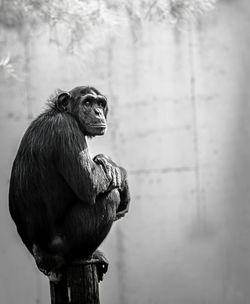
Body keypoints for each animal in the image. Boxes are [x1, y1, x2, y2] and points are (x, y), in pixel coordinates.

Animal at [8, 85, 130, 280]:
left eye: (100, 103)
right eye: (87, 102)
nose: (97, 112)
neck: (61, 113)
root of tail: (42, 261)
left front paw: (106, 161)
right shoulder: (65, 127)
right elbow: (89, 184)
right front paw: (115, 170)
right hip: (65, 244)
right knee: (110, 196)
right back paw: (86, 256)